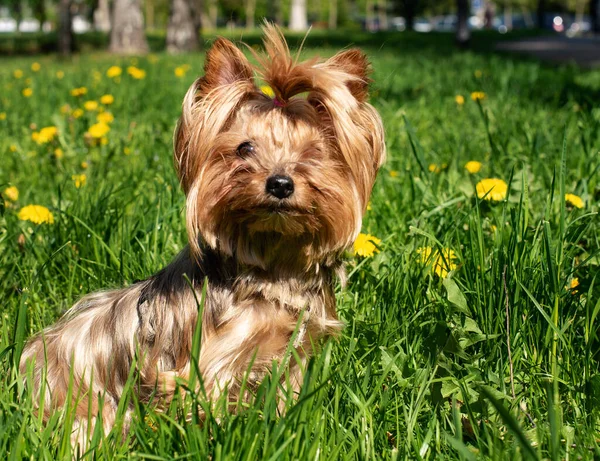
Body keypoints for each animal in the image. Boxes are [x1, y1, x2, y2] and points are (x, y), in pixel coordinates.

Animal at [19, 24, 384, 446]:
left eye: (314, 153)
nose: (279, 183)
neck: (270, 263)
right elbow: (211, 402)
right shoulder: (215, 362)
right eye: (245, 147)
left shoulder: (291, 354)